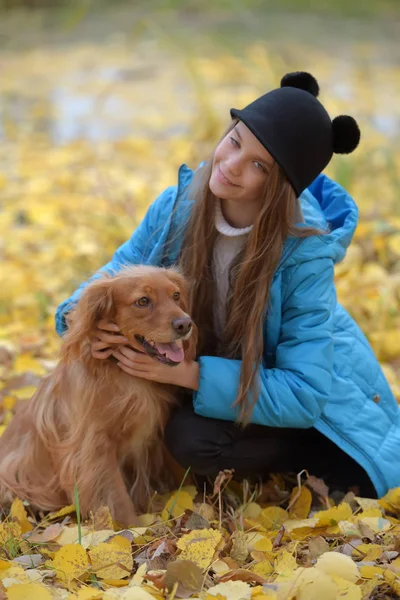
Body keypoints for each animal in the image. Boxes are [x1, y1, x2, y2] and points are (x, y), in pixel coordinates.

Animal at [0, 266, 197, 524]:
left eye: (175, 295)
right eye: (143, 301)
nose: (185, 324)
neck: (125, 377)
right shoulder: (94, 447)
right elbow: (115, 495)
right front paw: (131, 528)